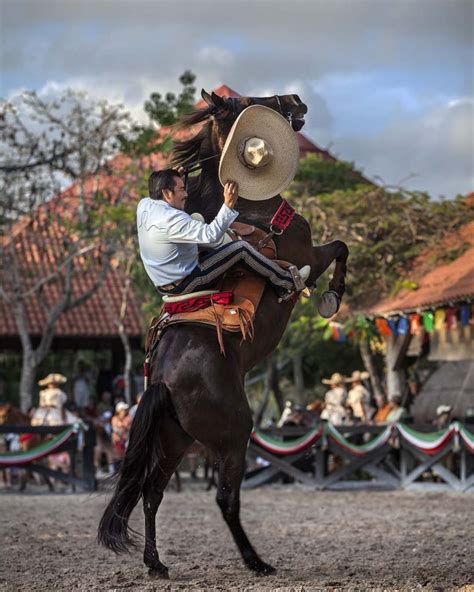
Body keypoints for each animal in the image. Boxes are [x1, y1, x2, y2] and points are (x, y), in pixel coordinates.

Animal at [98, 90, 348, 576]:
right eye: (246, 102)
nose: (294, 100)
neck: (252, 211)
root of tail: (162, 382)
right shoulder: (308, 252)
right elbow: (338, 250)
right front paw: (330, 295)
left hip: (175, 442)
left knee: (152, 493)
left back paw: (155, 562)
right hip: (234, 435)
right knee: (225, 499)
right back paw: (256, 561)